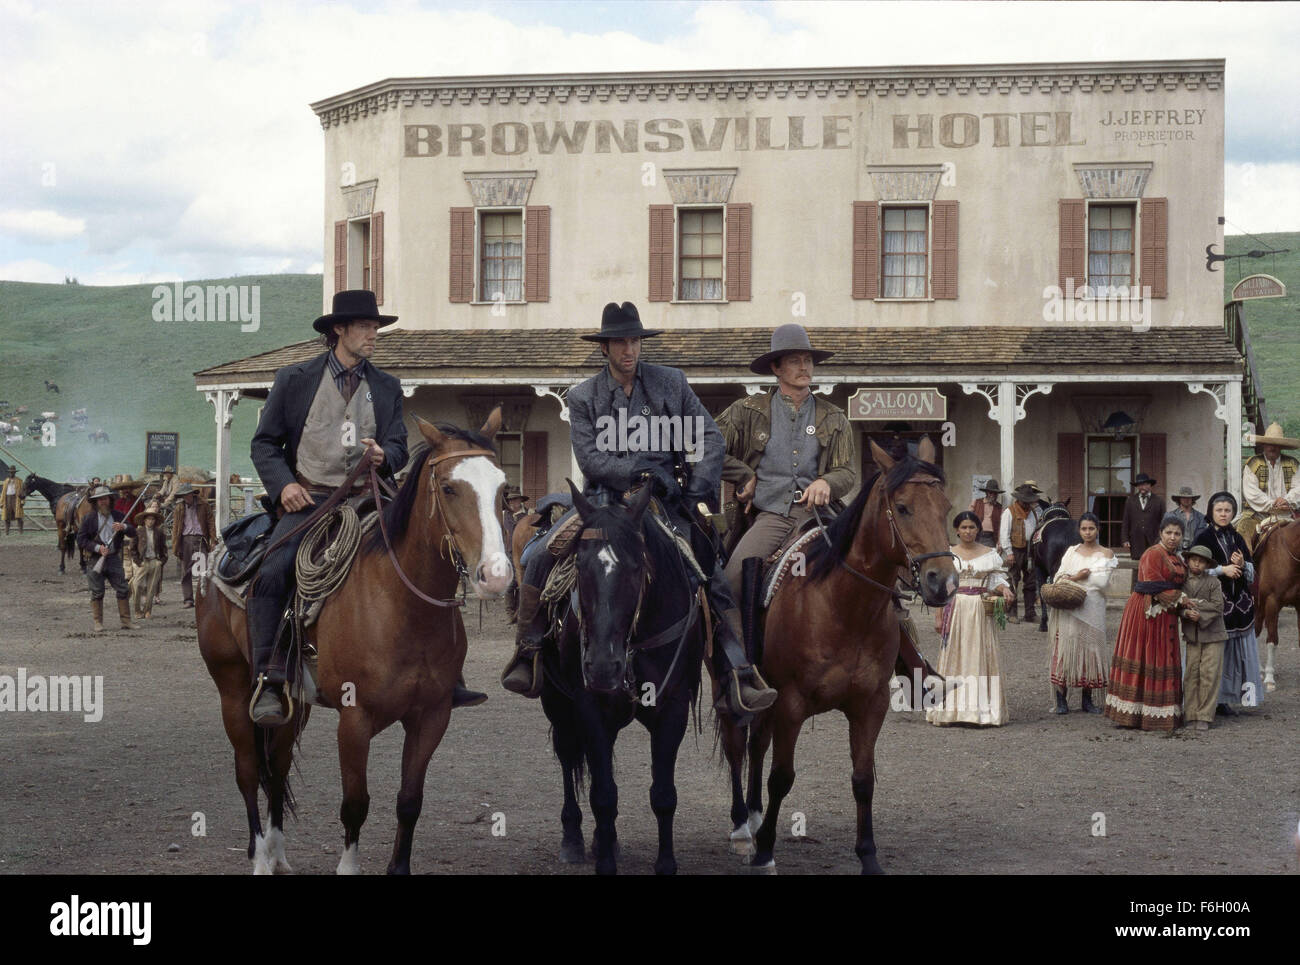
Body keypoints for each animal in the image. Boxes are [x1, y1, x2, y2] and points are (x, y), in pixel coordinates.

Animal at [197, 410, 512, 879]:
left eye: (503, 487)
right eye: (449, 487)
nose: (496, 575)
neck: (401, 606)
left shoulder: (431, 717)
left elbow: (409, 802)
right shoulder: (355, 719)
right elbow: (355, 805)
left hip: (292, 704)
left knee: (278, 768)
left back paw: (278, 855)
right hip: (233, 691)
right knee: (249, 772)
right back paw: (259, 859)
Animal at [538, 481, 707, 879]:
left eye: (636, 566)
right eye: (579, 566)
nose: (601, 667)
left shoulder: (673, 708)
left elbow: (663, 794)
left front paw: (665, 863)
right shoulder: (588, 705)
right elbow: (603, 794)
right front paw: (604, 863)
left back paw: (606, 839)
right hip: (556, 701)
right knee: (568, 757)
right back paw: (574, 839)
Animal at [733, 439, 956, 879]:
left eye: (946, 507)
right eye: (903, 507)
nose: (944, 582)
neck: (842, 605)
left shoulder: (871, 704)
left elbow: (863, 779)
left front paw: (868, 856)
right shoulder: (791, 703)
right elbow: (781, 778)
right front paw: (765, 851)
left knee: (757, 744)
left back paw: (753, 816)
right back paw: (745, 830)